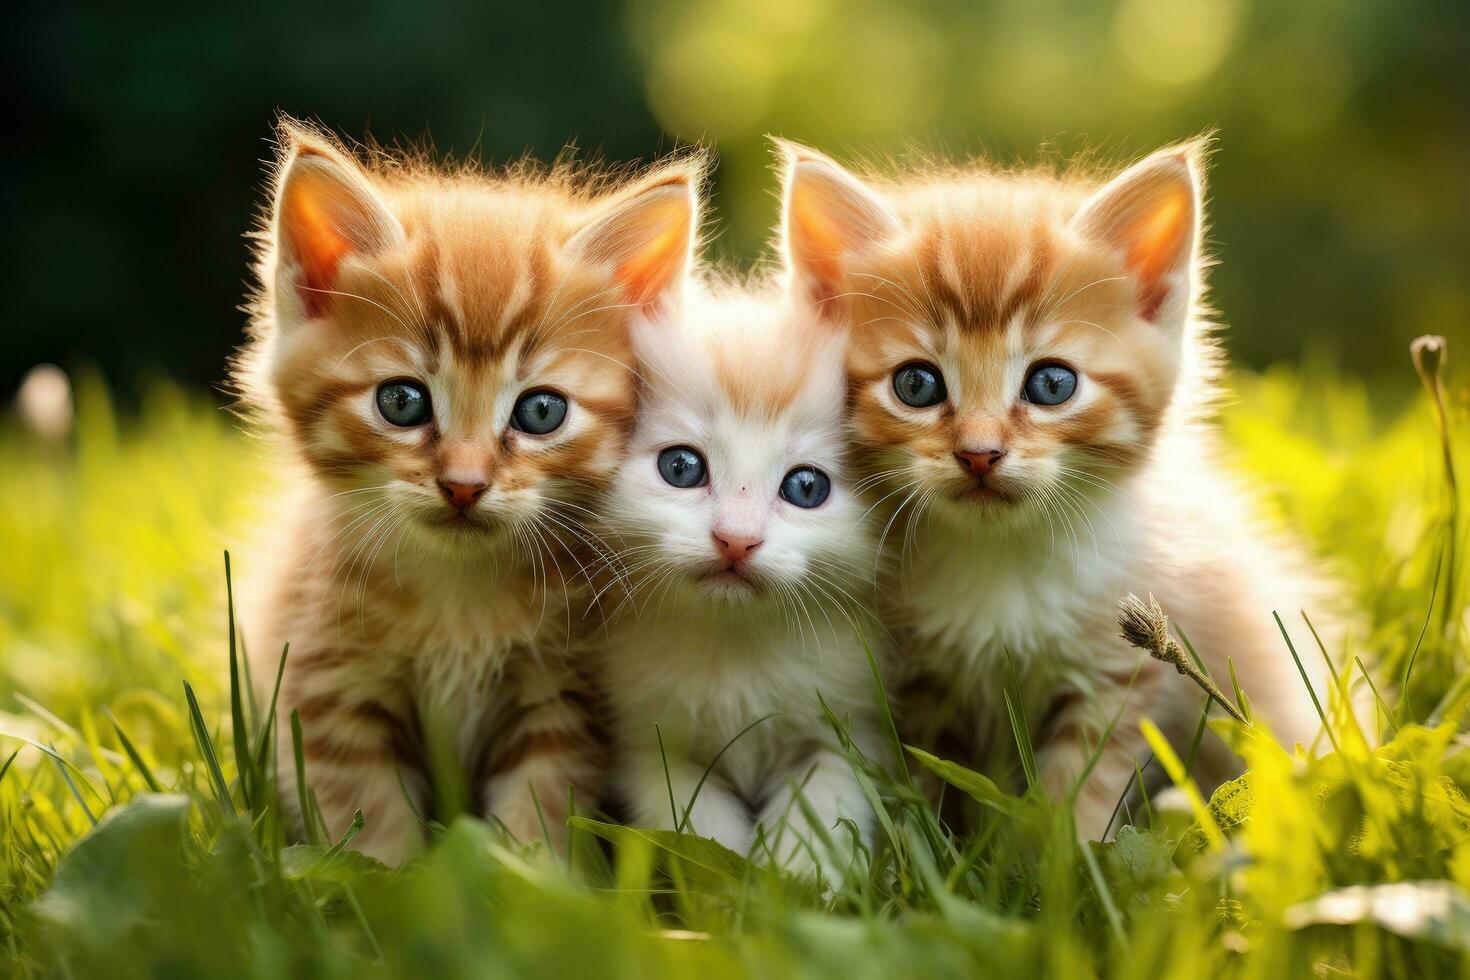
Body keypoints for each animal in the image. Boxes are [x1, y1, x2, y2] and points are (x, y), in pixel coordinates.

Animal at [233, 119, 699, 863]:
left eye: (541, 411)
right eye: (401, 402)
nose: (463, 484)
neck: (461, 597)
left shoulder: (558, 698)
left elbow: (540, 812)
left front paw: (523, 874)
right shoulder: (331, 689)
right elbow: (364, 822)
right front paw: (382, 881)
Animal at [596, 279, 882, 875]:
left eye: (806, 488)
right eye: (681, 468)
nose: (736, 539)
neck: (734, 644)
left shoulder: (851, 728)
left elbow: (822, 808)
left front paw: (793, 878)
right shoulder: (647, 741)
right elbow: (692, 821)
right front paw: (724, 887)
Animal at [776, 141, 1340, 840]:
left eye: (1051, 384)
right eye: (916, 385)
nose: (980, 453)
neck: (998, 561)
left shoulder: (1119, 669)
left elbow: (1083, 789)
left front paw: (1061, 855)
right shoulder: (914, 684)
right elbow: (927, 786)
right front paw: (931, 848)